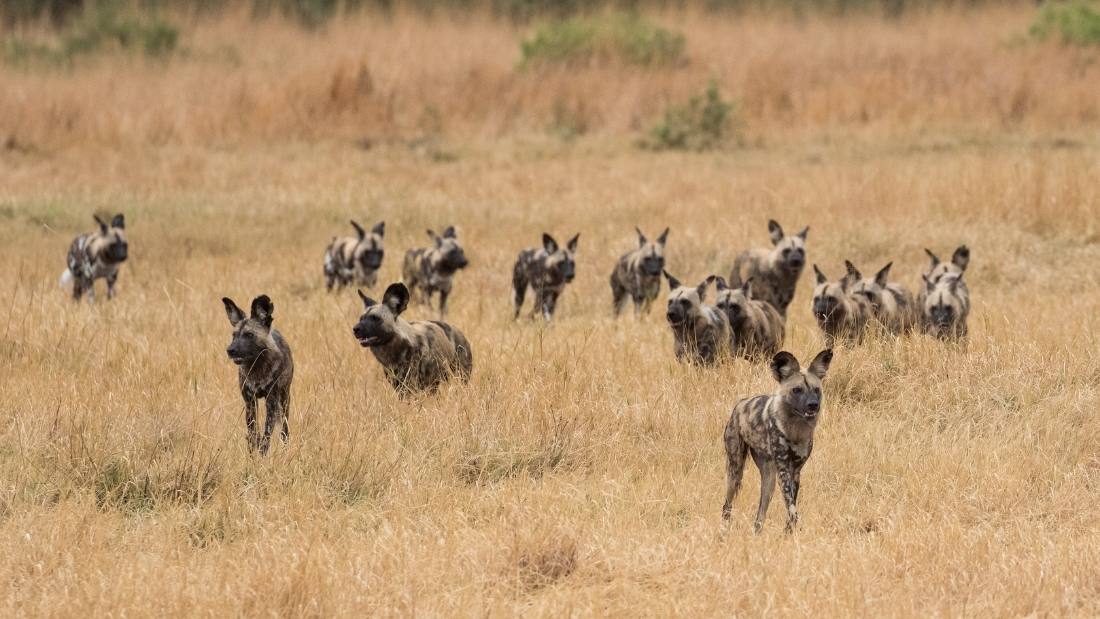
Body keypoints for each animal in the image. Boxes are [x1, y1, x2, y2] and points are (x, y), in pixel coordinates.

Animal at [221, 294, 292, 455]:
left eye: (249, 334)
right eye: (234, 335)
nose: (230, 350)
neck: (257, 370)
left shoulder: (271, 401)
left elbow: (267, 433)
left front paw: (262, 452)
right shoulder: (250, 402)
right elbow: (254, 433)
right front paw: (253, 452)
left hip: (284, 399)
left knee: (284, 428)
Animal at [721, 349, 831, 532]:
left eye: (816, 389)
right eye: (797, 390)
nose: (813, 405)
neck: (795, 428)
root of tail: (740, 404)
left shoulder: (795, 471)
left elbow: (791, 506)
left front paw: (788, 532)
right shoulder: (784, 469)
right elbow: (791, 506)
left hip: (769, 479)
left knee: (760, 514)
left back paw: (757, 532)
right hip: (735, 471)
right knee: (727, 505)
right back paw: (724, 529)